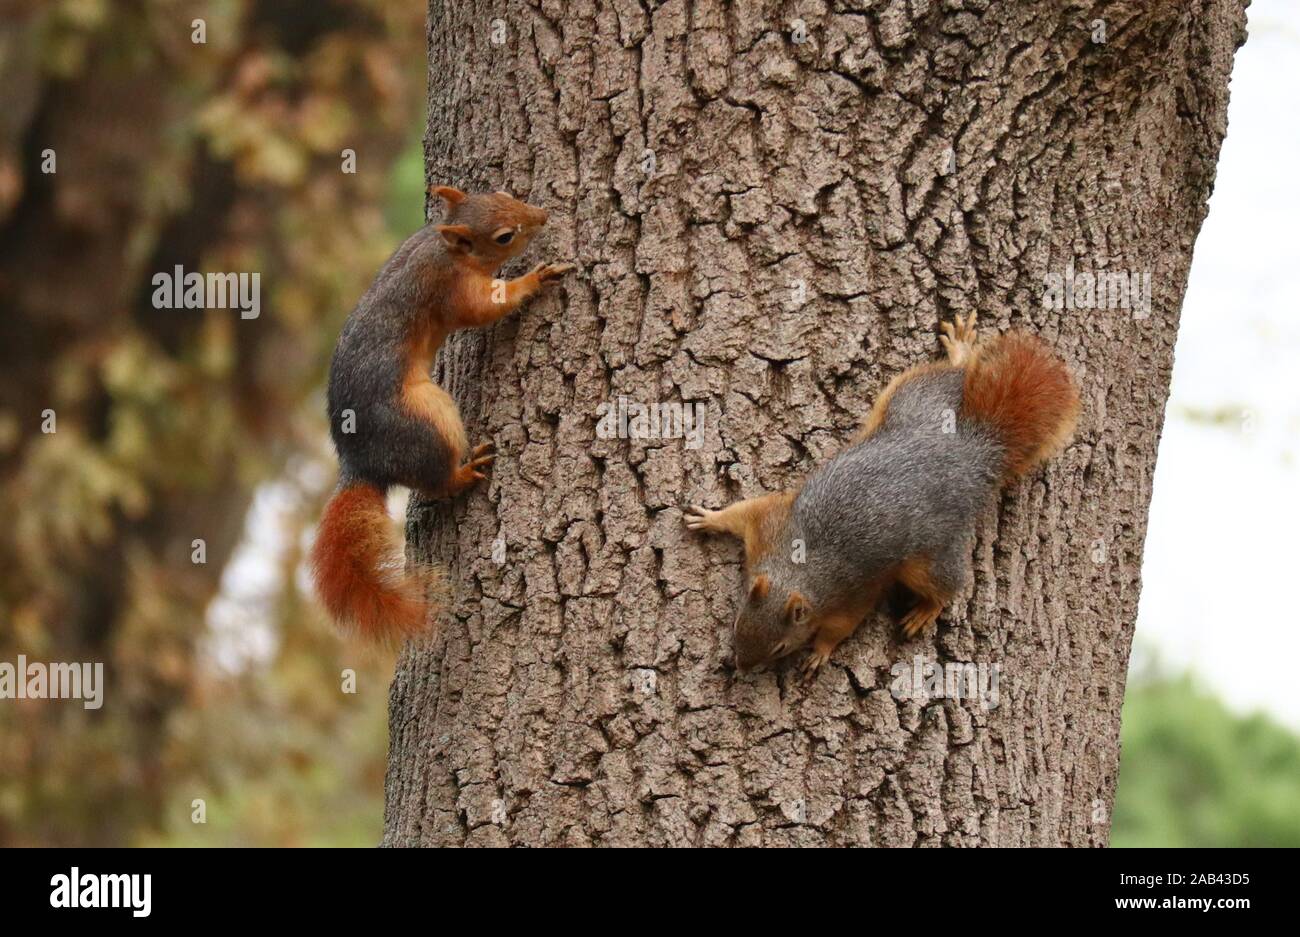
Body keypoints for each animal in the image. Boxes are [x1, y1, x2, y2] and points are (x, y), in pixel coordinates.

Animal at [310, 185, 575, 642]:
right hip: (430, 418)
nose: (542, 216)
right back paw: (467, 471)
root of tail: (361, 463)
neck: (444, 248)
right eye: (504, 236)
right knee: (439, 481)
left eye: (502, 192)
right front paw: (534, 280)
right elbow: (484, 307)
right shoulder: (452, 291)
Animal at [684, 313, 1079, 673]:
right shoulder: (769, 527)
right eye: (738, 621)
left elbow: (842, 626)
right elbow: (744, 511)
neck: (796, 569)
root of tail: (975, 450)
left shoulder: (852, 593)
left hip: (933, 554)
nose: (741, 667)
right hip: (915, 394)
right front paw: (709, 518)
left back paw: (925, 611)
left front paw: (820, 652)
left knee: (948, 585)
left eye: (780, 647)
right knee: (954, 371)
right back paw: (961, 350)